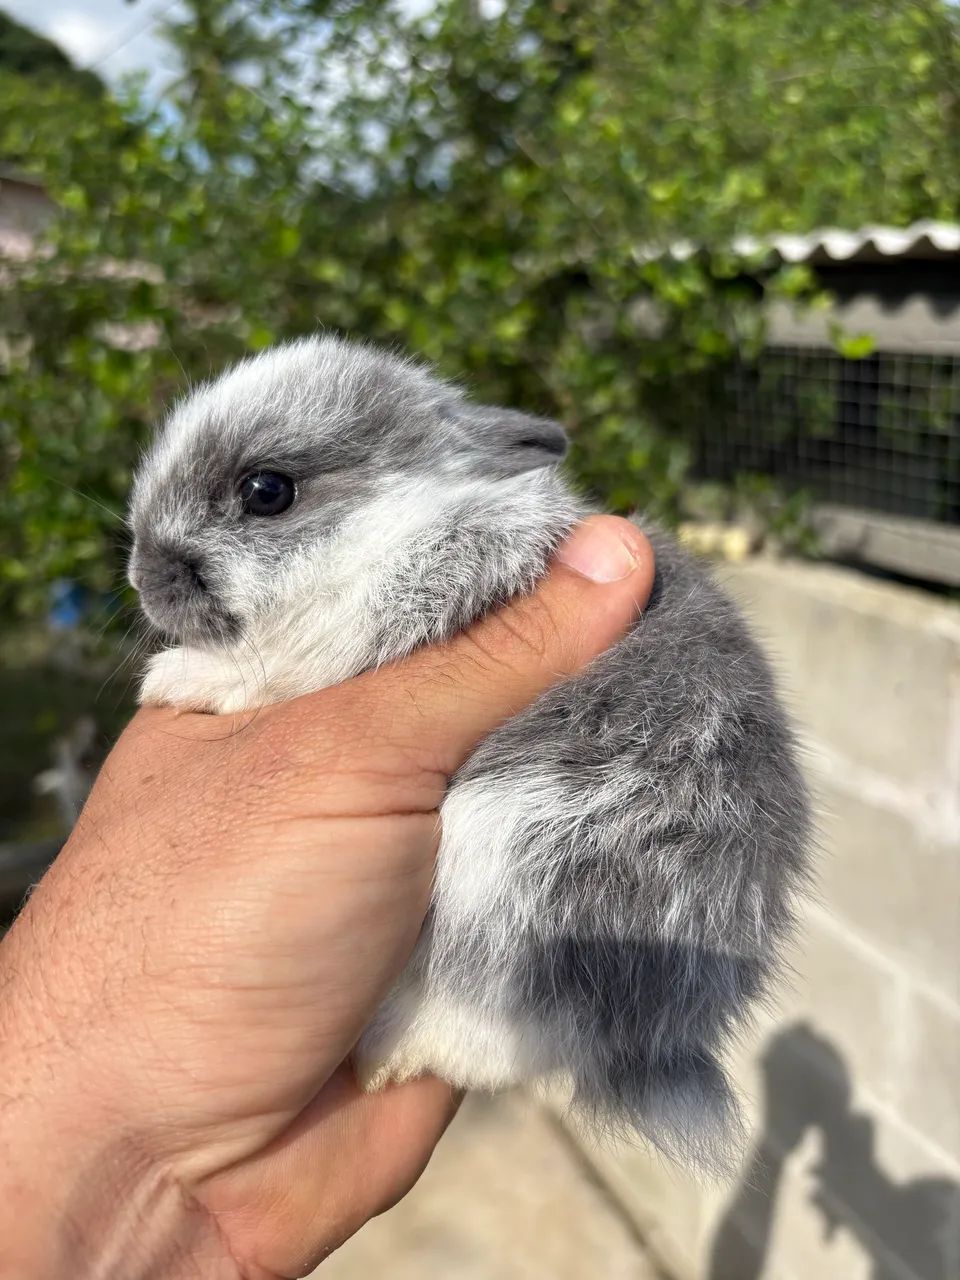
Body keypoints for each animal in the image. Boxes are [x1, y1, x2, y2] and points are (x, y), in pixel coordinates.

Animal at [128, 335, 811, 1170]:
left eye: (267, 491)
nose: (143, 579)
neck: (397, 521)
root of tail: (655, 1043)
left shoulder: (398, 608)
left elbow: (285, 663)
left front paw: (175, 677)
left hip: (513, 869)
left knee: (493, 1029)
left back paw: (395, 1051)